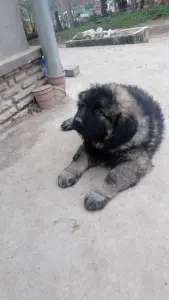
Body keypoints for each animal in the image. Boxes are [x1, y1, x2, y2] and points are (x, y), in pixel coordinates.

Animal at [57, 83, 164, 212]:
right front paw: (68, 173)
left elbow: (114, 176)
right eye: (83, 106)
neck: (106, 142)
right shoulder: (88, 146)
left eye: (99, 112)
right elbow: (78, 158)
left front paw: (98, 195)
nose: (77, 121)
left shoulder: (136, 161)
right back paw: (69, 122)